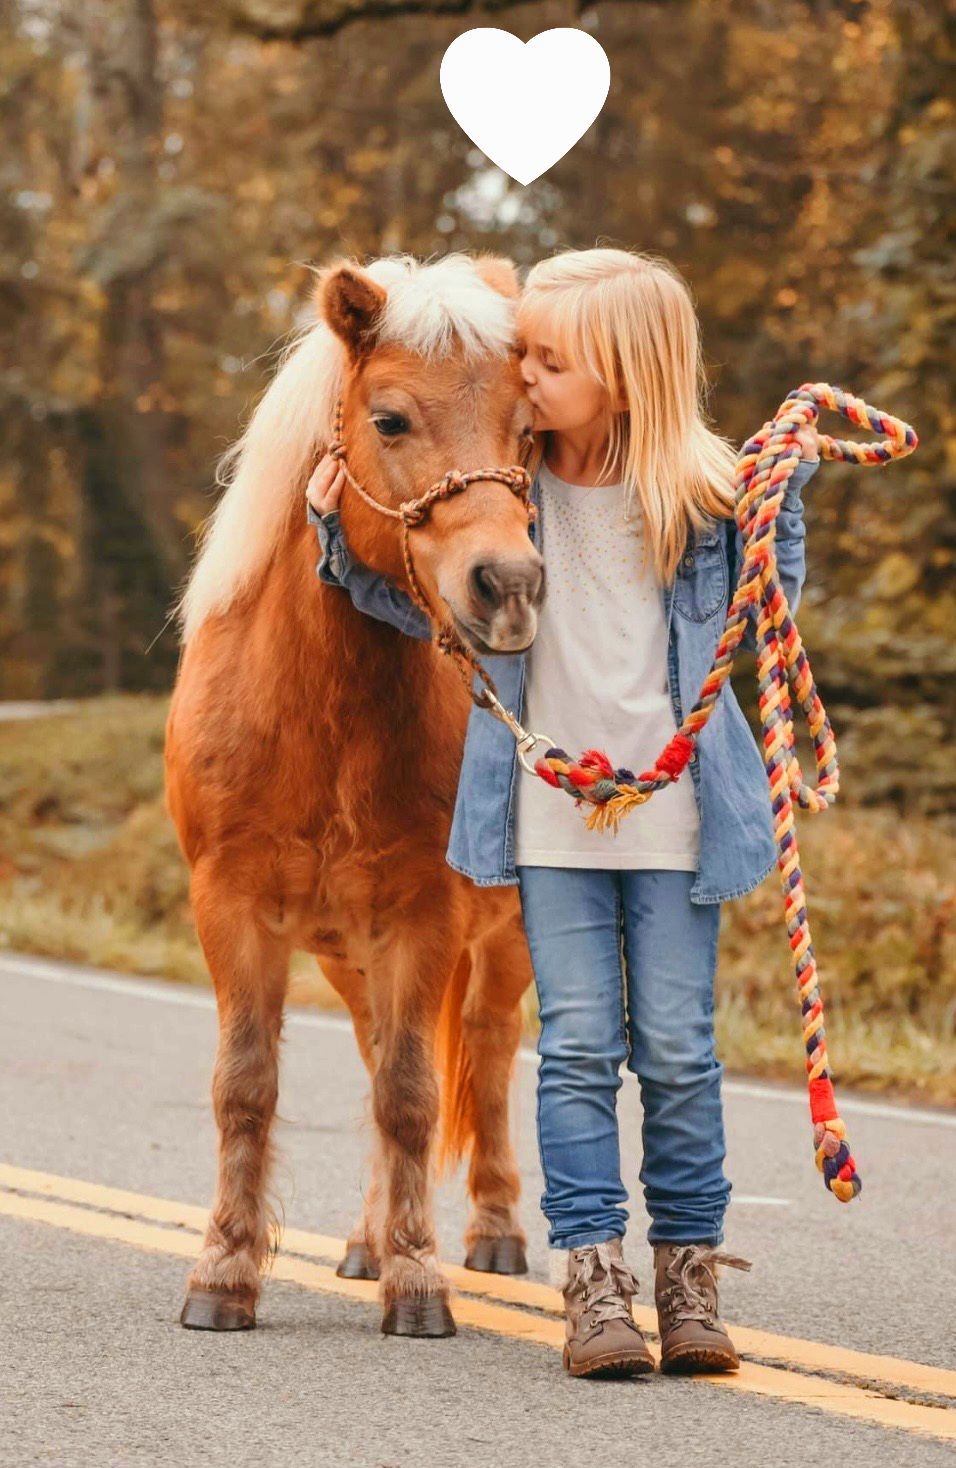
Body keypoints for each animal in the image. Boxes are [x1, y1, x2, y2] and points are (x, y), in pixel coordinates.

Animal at [165, 252, 546, 1337]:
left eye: (528, 430)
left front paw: (417, 1282)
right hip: (345, 953)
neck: (322, 718)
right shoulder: (233, 908)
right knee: (383, 1051)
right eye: (389, 419)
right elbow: (246, 1088)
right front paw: (225, 1271)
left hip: (504, 940)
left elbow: (415, 1095)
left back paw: (490, 1231)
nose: (508, 585)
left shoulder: (425, 918)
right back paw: (367, 1240)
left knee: (485, 1053)